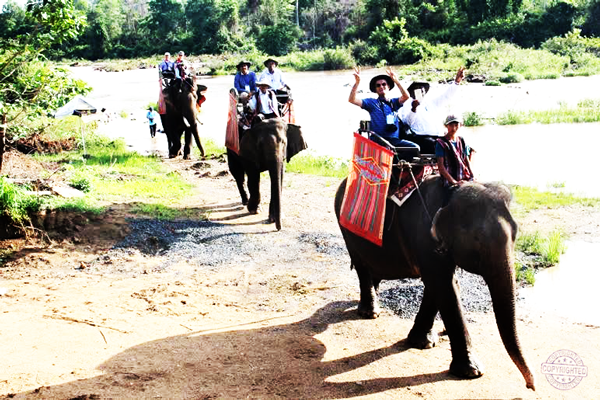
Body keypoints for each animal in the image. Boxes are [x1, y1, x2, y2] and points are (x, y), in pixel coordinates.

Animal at [332, 177, 536, 390]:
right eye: (477, 240)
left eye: (515, 235)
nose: (530, 386)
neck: (451, 193)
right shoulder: (424, 236)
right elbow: (444, 286)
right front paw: (472, 372)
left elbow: (439, 285)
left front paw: (423, 343)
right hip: (346, 229)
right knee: (361, 266)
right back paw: (370, 313)